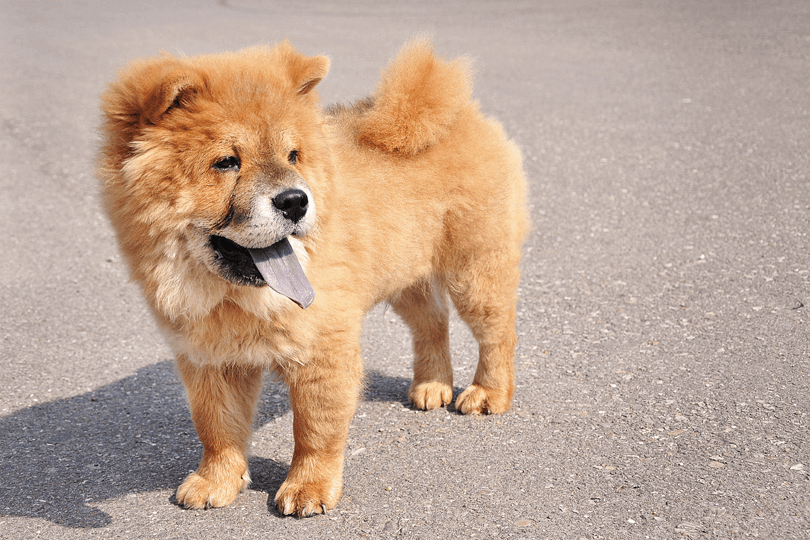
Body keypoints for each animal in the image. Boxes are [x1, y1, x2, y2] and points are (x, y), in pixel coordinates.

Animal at [98, 38, 528, 516]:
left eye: (292, 156)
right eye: (226, 163)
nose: (295, 201)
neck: (234, 297)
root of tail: (465, 114)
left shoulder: (323, 348)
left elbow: (315, 429)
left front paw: (308, 490)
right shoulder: (209, 358)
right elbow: (216, 427)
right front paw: (215, 483)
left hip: (474, 269)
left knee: (497, 333)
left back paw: (487, 394)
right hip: (404, 275)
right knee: (432, 323)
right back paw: (431, 386)